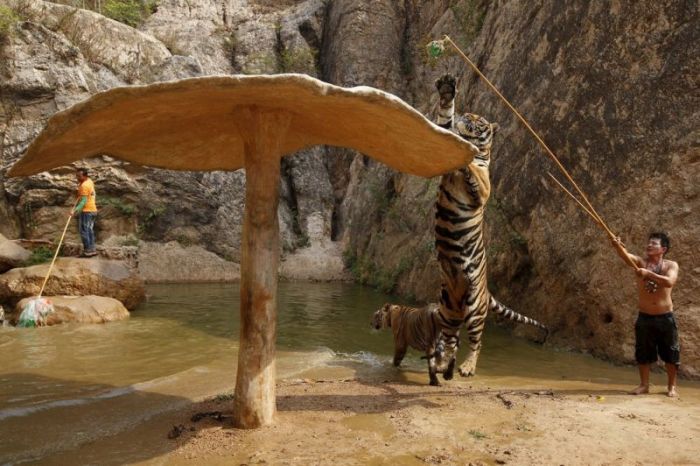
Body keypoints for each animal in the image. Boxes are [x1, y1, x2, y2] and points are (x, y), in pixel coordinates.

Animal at [432, 73, 548, 378]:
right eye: (469, 114)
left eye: (480, 120)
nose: (467, 117)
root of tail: (487, 291)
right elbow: (444, 121)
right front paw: (447, 91)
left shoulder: (482, 188)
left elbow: (474, 168)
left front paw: (471, 153)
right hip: (448, 307)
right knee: (450, 337)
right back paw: (442, 363)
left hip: (474, 308)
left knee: (477, 341)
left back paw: (467, 367)